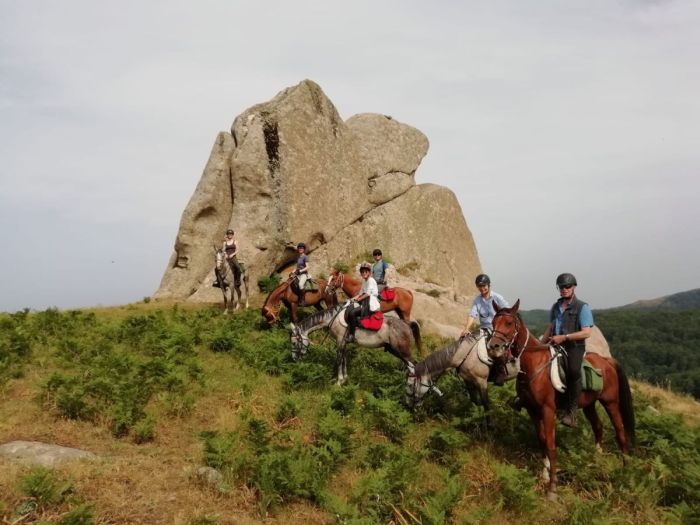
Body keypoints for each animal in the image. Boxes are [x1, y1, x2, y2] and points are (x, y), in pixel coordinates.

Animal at [290, 302, 422, 384]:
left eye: (294, 343)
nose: (294, 358)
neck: (332, 318)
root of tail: (407, 324)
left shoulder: (340, 342)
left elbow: (339, 359)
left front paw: (339, 381)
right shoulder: (343, 343)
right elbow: (344, 359)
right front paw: (344, 378)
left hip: (402, 351)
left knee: (414, 365)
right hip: (394, 350)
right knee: (410, 366)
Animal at [486, 298, 636, 500]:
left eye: (509, 323)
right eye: (493, 322)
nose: (493, 347)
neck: (534, 364)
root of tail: (606, 361)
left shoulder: (548, 410)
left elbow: (551, 445)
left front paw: (552, 488)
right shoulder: (533, 411)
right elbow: (541, 441)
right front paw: (544, 474)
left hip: (610, 403)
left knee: (620, 433)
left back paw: (626, 471)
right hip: (589, 405)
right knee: (598, 427)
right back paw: (596, 459)